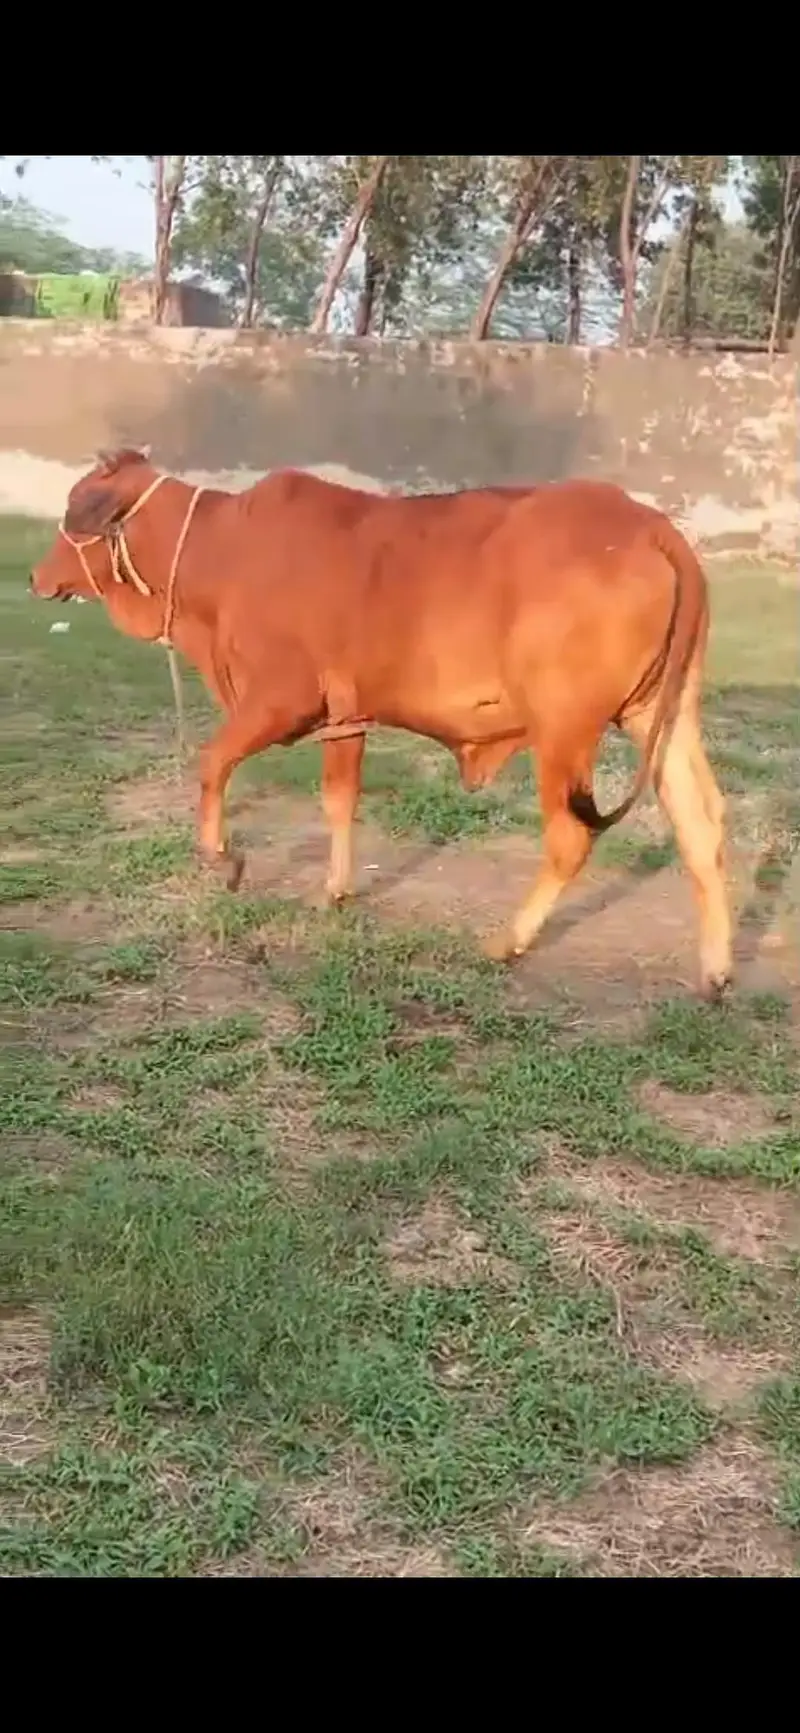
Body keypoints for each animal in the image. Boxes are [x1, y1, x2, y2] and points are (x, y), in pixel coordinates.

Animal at [29, 447, 733, 1000]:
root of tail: (650, 526)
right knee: (701, 825)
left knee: (569, 837)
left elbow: (212, 762)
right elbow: (339, 800)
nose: (36, 576)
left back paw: (507, 941)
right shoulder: (345, 715)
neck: (220, 549)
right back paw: (716, 971)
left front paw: (222, 860)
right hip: (659, 715)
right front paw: (334, 891)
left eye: (74, 506)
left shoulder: (279, 700)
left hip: (564, 730)